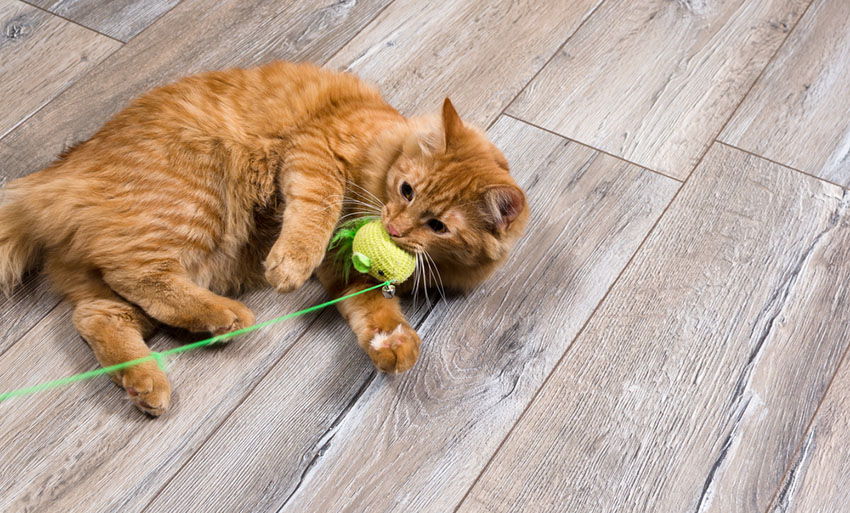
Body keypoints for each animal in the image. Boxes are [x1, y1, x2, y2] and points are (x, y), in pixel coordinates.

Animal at [0, 60, 528, 414]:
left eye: (438, 227)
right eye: (407, 190)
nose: (394, 227)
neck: (384, 148)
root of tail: (57, 174)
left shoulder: (345, 271)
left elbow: (372, 308)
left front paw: (393, 342)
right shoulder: (317, 153)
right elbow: (316, 211)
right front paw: (289, 263)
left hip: (153, 266)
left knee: (97, 315)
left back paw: (146, 382)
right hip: (194, 206)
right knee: (137, 278)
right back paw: (228, 318)